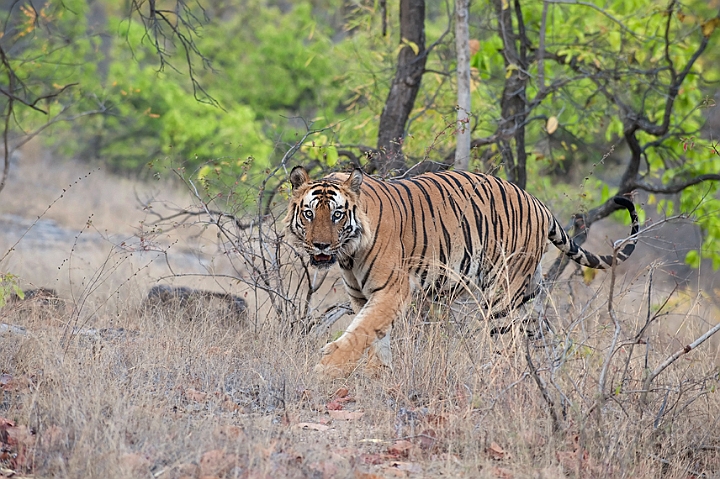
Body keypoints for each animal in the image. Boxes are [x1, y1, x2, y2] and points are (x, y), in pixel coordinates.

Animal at [284, 167, 640, 376]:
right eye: (309, 213)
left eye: (337, 215)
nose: (320, 246)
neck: (349, 253)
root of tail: (538, 203)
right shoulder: (361, 296)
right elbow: (374, 337)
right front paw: (378, 376)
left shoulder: (391, 291)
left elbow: (361, 332)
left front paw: (326, 367)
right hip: (530, 297)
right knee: (545, 337)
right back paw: (551, 378)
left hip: (502, 293)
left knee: (507, 345)